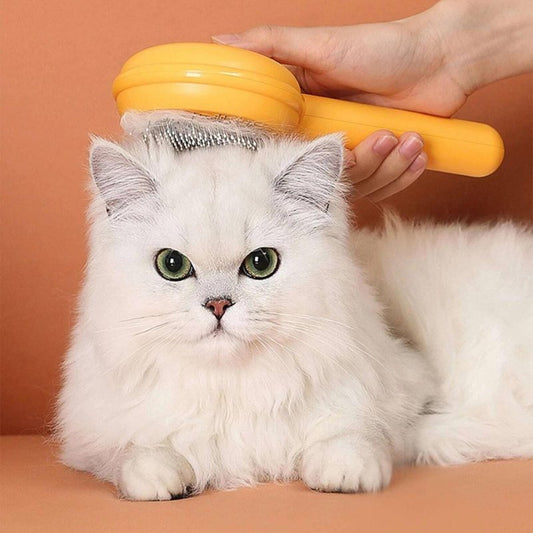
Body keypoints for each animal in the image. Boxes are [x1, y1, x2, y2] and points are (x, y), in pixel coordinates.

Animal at [57, 111, 532, 498]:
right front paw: (161, 476)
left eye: (261, 264)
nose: (218, 305)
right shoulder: (94, 435)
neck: (231, 387)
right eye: (172, 265)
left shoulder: (406, 386)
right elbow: (135, 453)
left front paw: (344, 472)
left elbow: (357, 433)